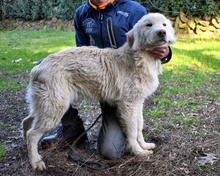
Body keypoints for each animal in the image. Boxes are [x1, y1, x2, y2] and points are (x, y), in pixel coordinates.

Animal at [22, 13, 176, 170]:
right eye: (148, 25)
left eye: (164, 25)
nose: (162, 32)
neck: (140, 57)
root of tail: (38, 67)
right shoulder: (128, 105)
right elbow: (132, 131)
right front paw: (138, 151)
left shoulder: (138, 103)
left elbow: (139, 126)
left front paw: (144, 146)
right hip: (55, 106)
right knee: (32, 134)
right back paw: (35, 161)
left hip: (45, 105)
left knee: (26, 123)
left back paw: (27, 150)